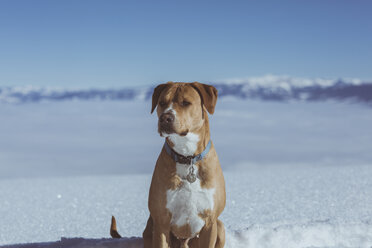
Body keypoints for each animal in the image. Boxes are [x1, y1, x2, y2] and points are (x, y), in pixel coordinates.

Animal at [111, 82, 227, 247]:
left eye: (186, 103)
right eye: (162, 103)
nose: (165, 117)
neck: (187, 156)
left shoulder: (210, 222)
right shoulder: (162, 222)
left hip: (220, 226)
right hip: (149, 229)